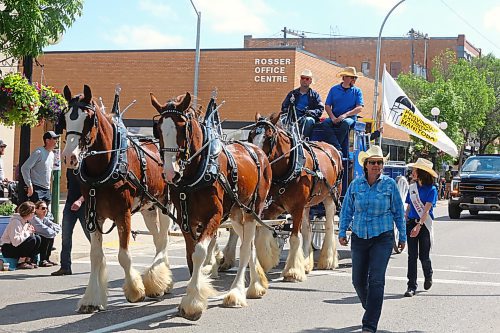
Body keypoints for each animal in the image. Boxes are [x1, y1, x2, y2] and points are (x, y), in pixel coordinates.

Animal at [60, 85, 173, 312]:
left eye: (88, 119)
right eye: (66, 117)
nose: (69, 157)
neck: (104, 166)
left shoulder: (124, 214)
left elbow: (123, 255)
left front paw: (135, 290)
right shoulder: (93, 215)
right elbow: (96, 256)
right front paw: (91, 299)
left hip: (163, 204)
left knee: (164, 239)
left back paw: (159, 281)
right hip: (148, 208)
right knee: (157, 239)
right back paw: (159, 281)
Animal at [150, 91, 272, 320]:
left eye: (182, 127)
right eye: (158, 128)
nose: (170, 173)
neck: (196, 173)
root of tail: (257, 150)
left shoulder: (214, 216)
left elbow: (199, 252)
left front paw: (193, 302)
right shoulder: (186, 220)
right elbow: (190, 255)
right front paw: (192, 294)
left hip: (252, 211)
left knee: (245, 248)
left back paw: (236, 293)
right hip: (236, 214)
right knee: (249, 244)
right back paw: (256, 286)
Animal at [247, 113, 342, 280]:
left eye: (269, 137)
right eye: (251, 134)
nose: (257, 158)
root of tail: (332, 148)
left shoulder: (296, 207)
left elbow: (294, 237)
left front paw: (292, 271)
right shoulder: (273, 206)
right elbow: (264, 230)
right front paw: (265, 262)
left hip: (331, 197)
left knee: (329, 226)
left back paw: (328, 260)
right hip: (307, 204)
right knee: (308, 230)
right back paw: (306, 263)